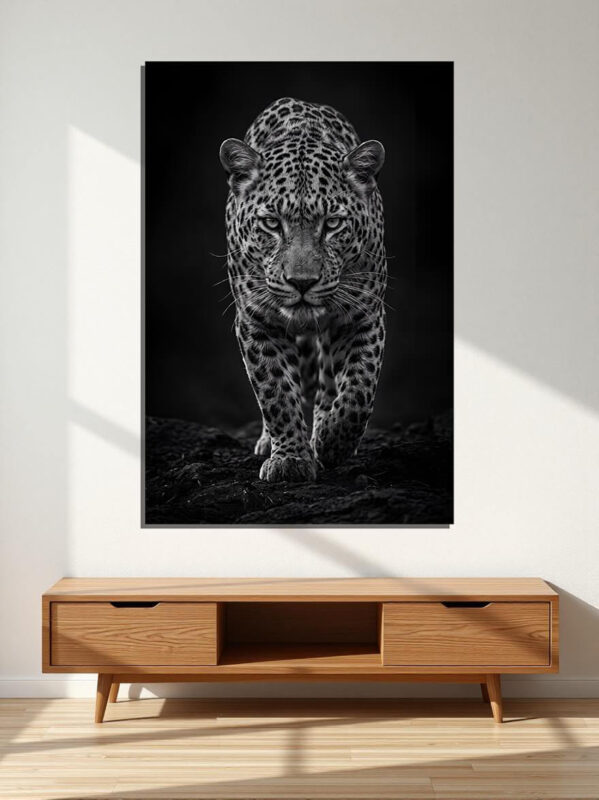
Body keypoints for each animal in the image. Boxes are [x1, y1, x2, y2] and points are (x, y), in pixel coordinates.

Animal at [219, 97, 387, 483]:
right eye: (271, 223)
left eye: (333, 224)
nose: (302, 282)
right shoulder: (256, 321)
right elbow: (275, 392)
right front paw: (290, 459)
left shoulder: (363, 316)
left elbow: (360, 388)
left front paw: (332, 442)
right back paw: (270, 440)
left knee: (328, 381)